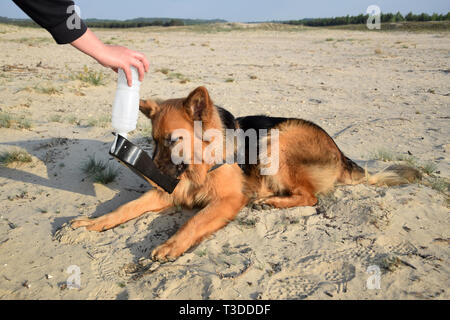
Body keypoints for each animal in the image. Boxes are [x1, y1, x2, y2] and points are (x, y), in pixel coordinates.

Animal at [71, 86, 422, 262]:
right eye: (153, 141)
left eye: (173, 140)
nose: (148, 176)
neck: (204, 163)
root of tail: (340, 153)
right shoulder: (169, 192)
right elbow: (124, 209)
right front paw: (95, 222)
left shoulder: (227, 200)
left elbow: (195, 221)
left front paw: (172, 245)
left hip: (277, 138)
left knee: (310, 197)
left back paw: (271, 201)